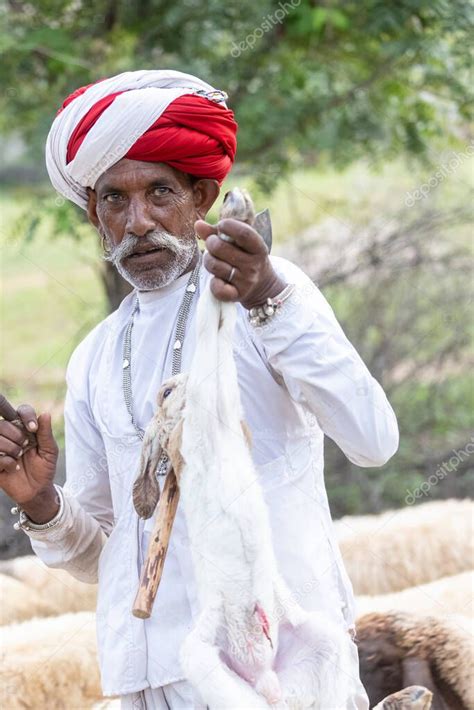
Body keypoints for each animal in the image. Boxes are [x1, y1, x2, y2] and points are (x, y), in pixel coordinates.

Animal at [133, 282, 356, 708]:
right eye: (165, 391)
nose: (180, 384)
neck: (218, 429)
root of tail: (266, 677)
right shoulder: (207, 408)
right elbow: (212, 333)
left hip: (326, 647)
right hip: (208, 666)